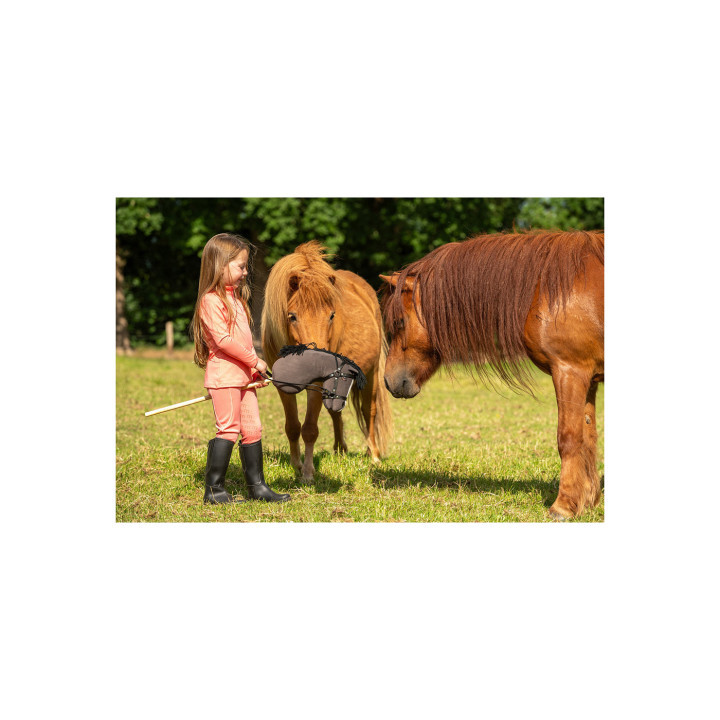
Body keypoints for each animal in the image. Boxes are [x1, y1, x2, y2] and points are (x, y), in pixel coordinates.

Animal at [262, 241, 393, 480]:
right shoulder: (282, 386)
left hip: (372, 374)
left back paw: (373, 455)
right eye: (292, 316)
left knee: (369, 411)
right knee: (335, 412)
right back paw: (340, 451)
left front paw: (307, 473)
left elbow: (310, 429)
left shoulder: (317, 383)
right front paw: (296, 465)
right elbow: (292, 426)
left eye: (332, 315)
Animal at [380, 230, 604, 520]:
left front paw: (563, 506)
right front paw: (586, 501)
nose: (389, 381)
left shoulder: (570, 371)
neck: (549, 288)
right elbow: (588, 439)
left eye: (399, 322)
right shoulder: (588, 379)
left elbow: (568, 438)